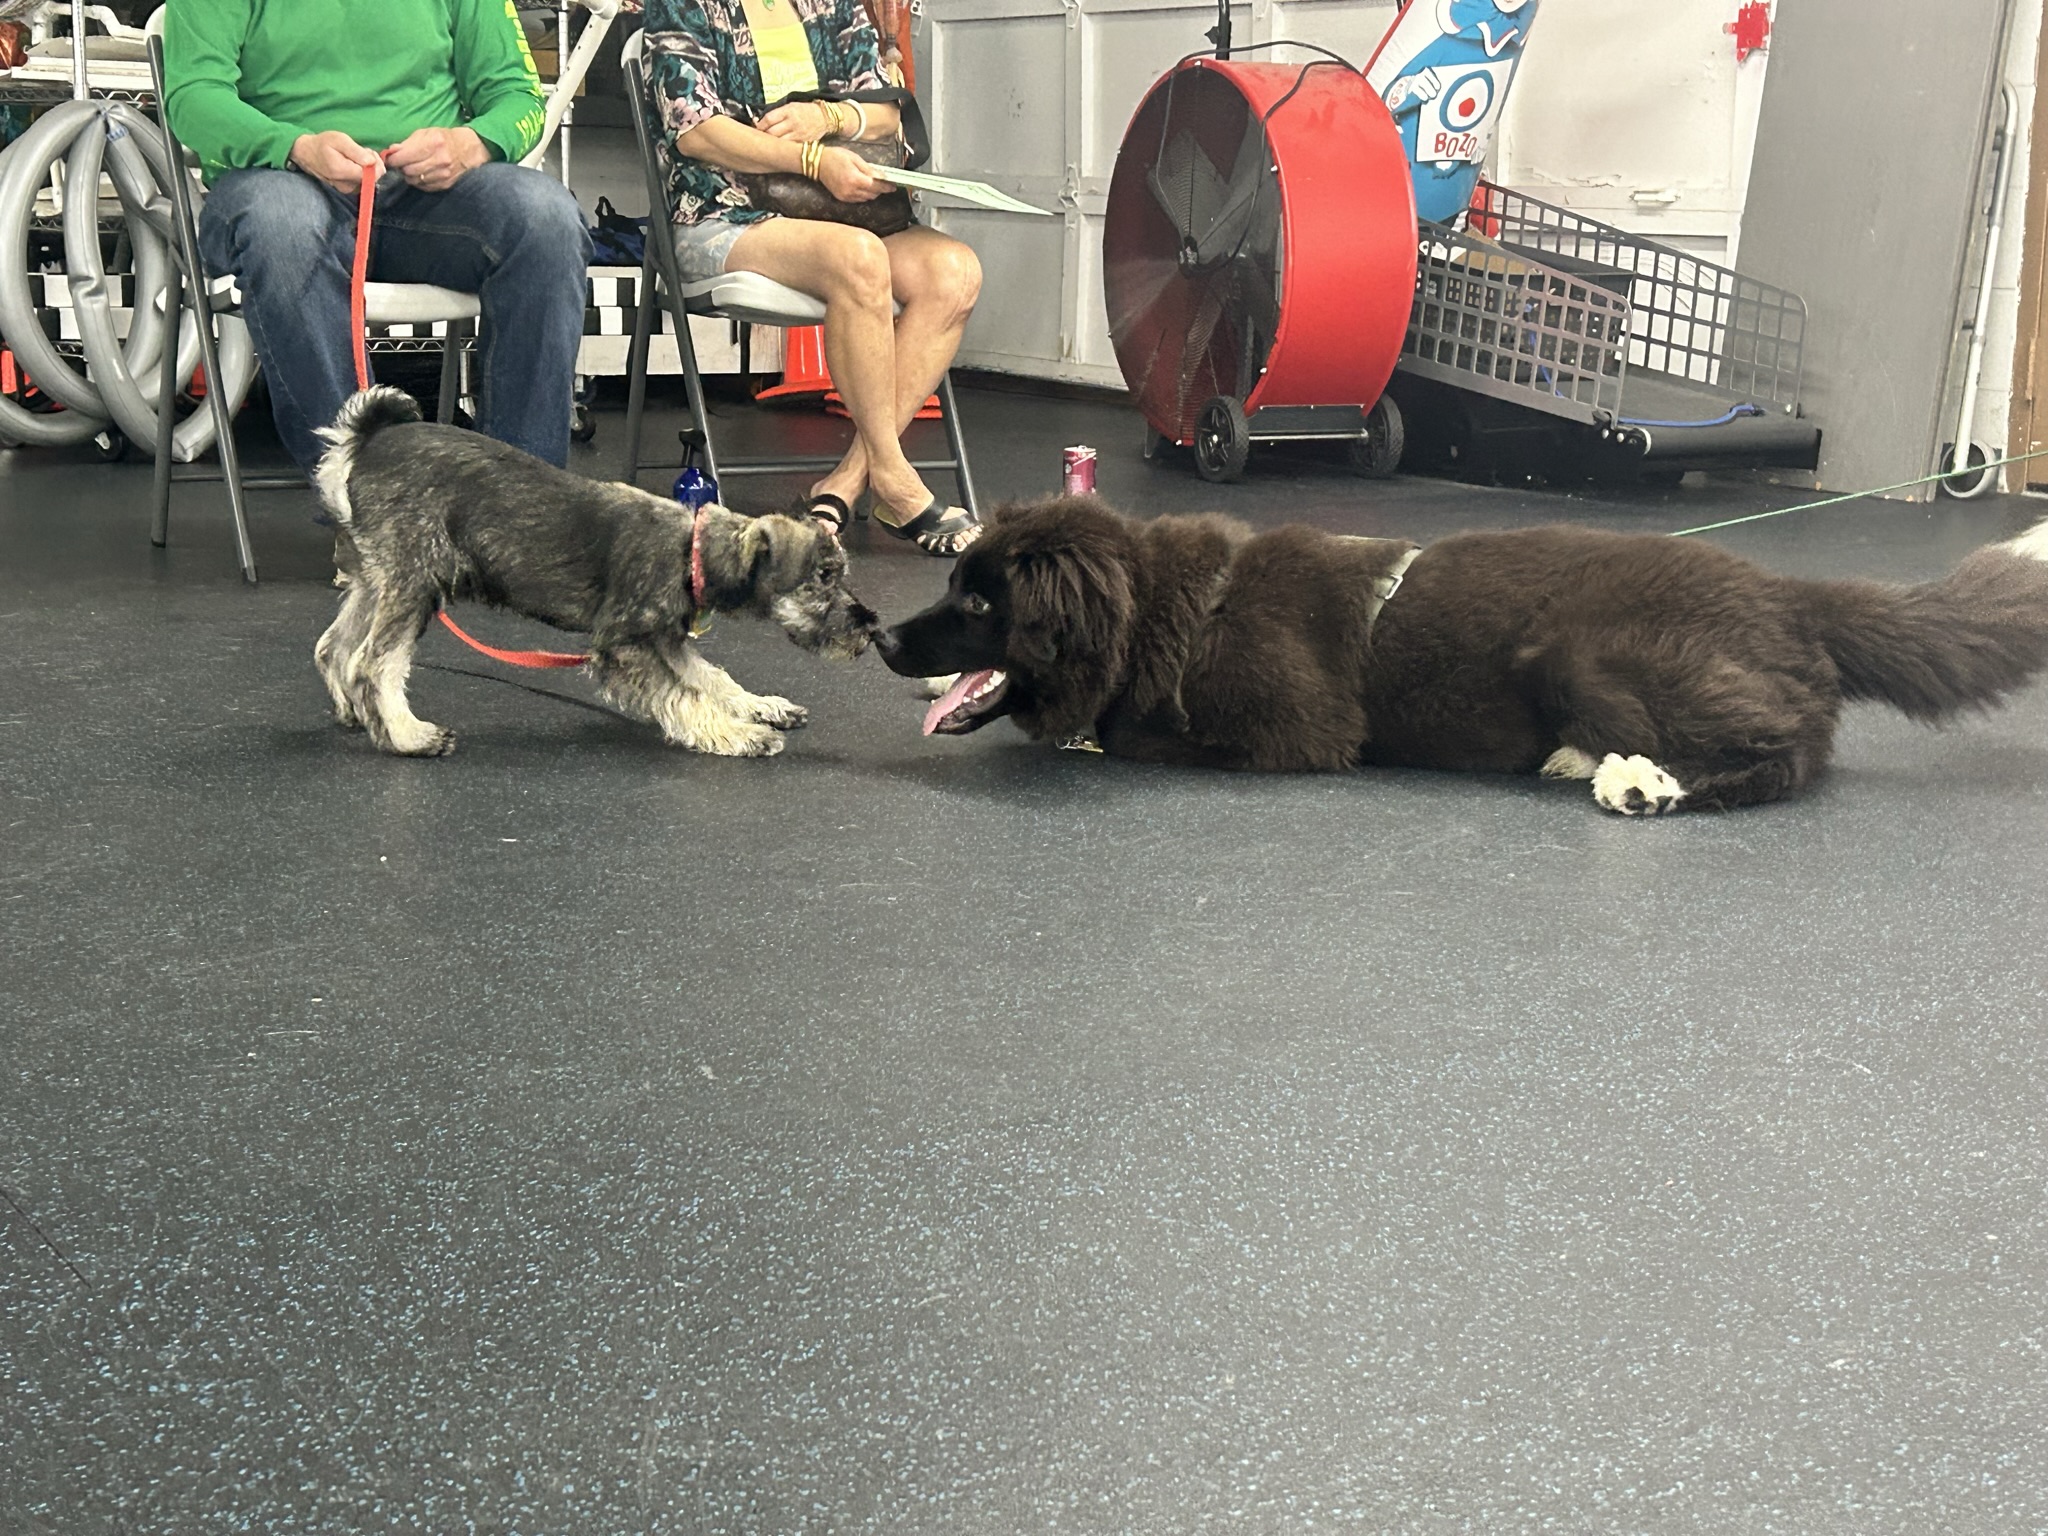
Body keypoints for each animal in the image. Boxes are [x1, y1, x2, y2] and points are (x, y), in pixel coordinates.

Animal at [313, 387, 877, 758]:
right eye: (824, 578)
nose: (869, 628)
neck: (692, 551)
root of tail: (363, 443)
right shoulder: (624, 648)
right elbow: (685, 695)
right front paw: (739, 734)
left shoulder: (667, 640)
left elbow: (714, 678)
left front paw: (762, 706)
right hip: (415, 582)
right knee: (374, 664)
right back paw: (409, 736)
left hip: (376, 579)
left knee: (334, 647)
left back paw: (353, 713)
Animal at [875, 495, 2048, 813]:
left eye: (977, 599)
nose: (880, 633)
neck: (1178, 606)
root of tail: (1785, 592)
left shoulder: (1296, 733)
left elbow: (1128, 736)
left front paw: (1086, 732)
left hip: (1580, 652)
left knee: (1791, 750)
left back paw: (1641, 784)